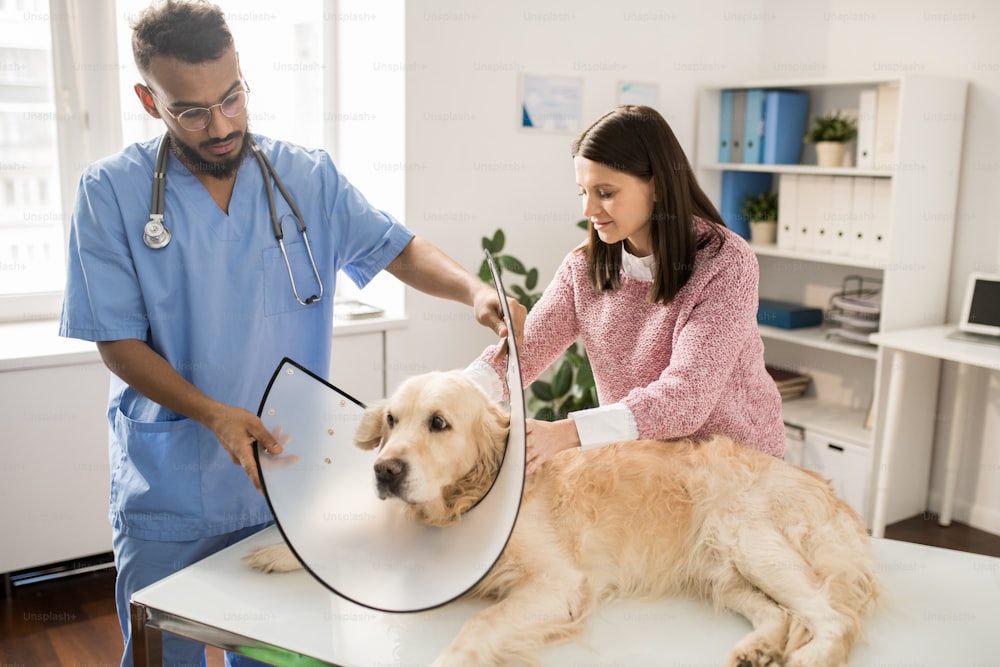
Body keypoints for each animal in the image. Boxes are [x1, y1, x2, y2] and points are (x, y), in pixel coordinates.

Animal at [246, 374, 880, 664]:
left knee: (832, 616)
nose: (384, 470)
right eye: (392, 421)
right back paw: (757, 648)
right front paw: (278, 550)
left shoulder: (558, 583)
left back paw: (810, 655)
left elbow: (477, 626)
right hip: (721, 569)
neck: (474, 499)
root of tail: (832, 495)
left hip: (750, 540)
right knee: (778, 612)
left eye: (439, 423)